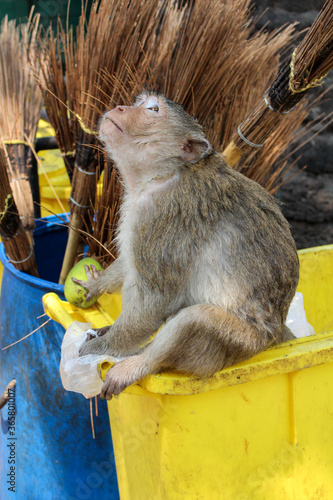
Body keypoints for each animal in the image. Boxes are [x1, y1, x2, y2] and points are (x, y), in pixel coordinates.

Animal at [74, 92, 298, 398]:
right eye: (141, 103)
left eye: (153, 110)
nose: (120, 107)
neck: (167, 172)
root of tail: (277, 332)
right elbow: (131, 264)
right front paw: (97, 284)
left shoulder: (159, 215)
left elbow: (155, 298)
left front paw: (102, 348)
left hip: (241, 342)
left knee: (194, 319)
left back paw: (140, 363)